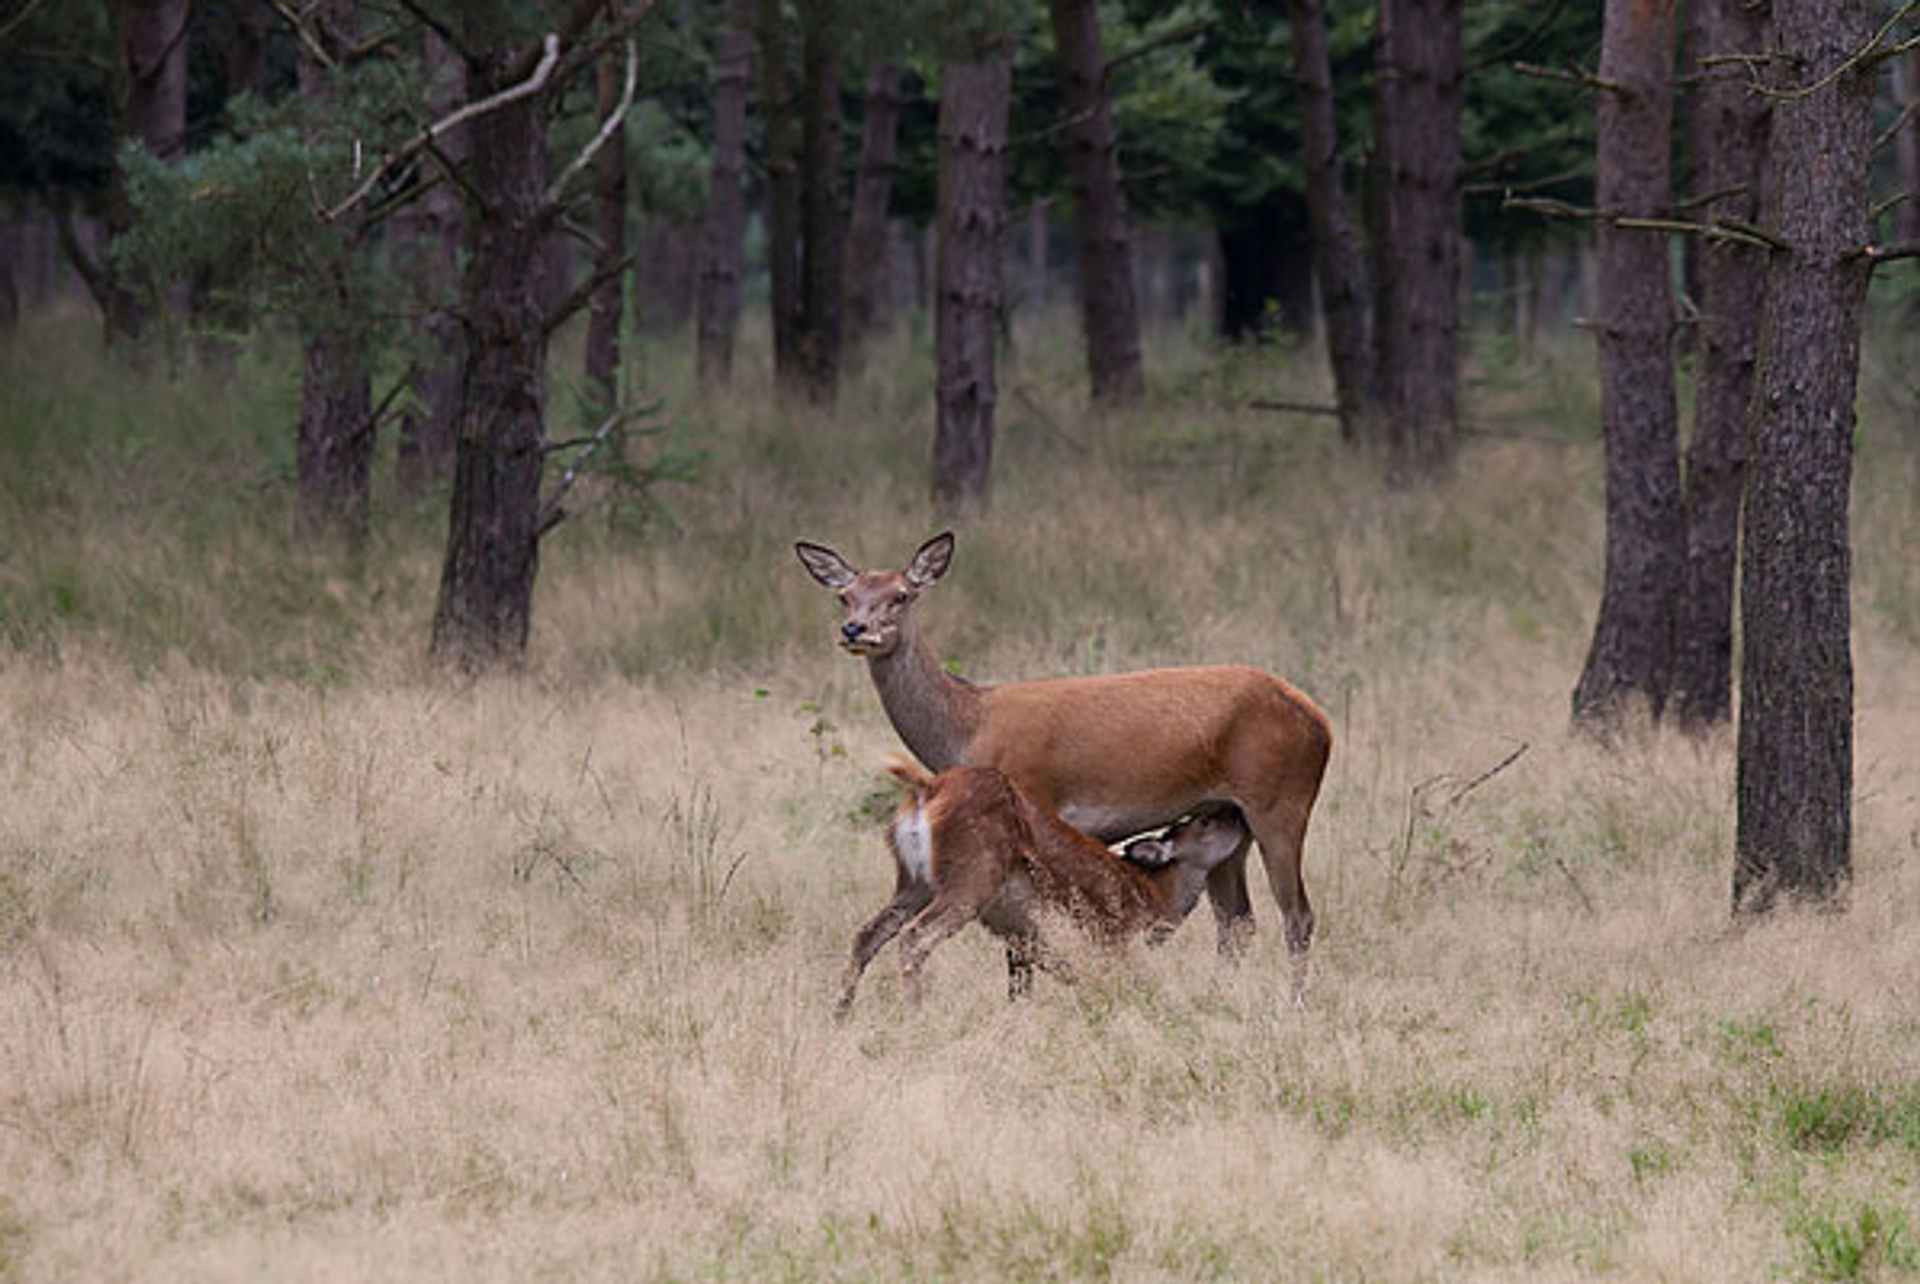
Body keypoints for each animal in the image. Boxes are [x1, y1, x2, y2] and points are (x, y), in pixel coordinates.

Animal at [837, 760, 1251, 1013]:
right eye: (1204, 821)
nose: (1237, 813)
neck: (1156, 898)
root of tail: (926, 789)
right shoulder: (1118, 940)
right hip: (972, 877)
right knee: (913, 937)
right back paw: (915, 1017)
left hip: (913, 881)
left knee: (867, 933)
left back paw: (841, 1015)